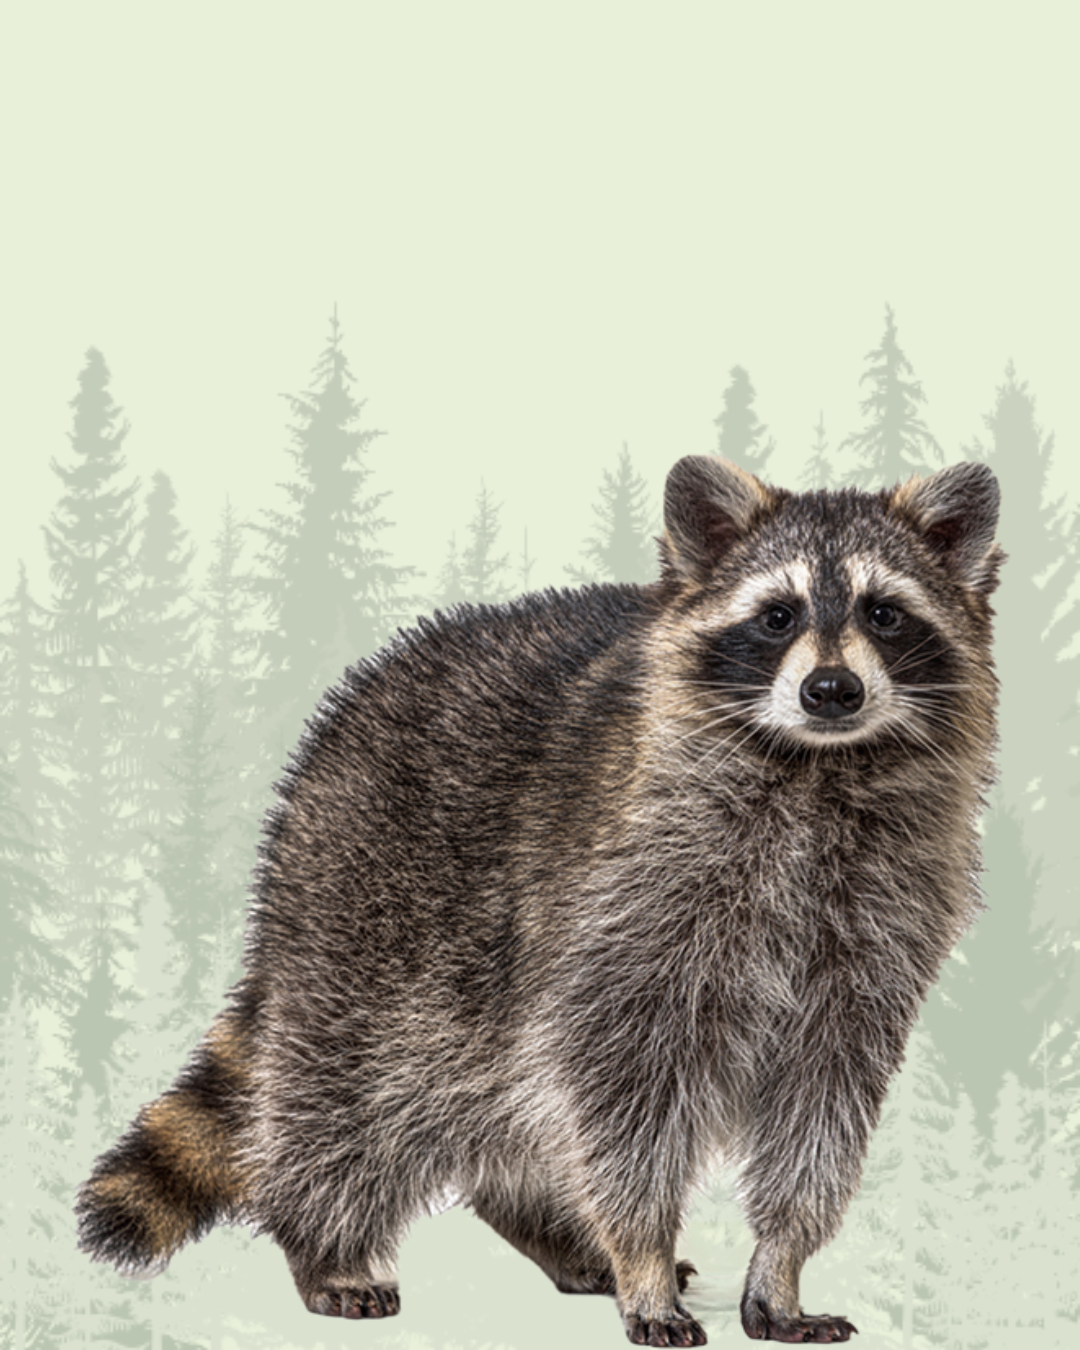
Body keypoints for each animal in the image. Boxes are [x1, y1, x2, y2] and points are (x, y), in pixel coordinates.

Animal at [76, 455, 1003, 1346]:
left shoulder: (875, 927)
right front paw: (642, 1256)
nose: (832, 690)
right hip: (362, 903)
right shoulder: (628, 903)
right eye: (777, 616)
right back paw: (324, 1242)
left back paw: (548, 1227)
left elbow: (821, 1115)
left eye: (885, 614)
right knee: (342, 1088)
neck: (817, 766)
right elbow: (624, 1099)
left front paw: (780, 1263)